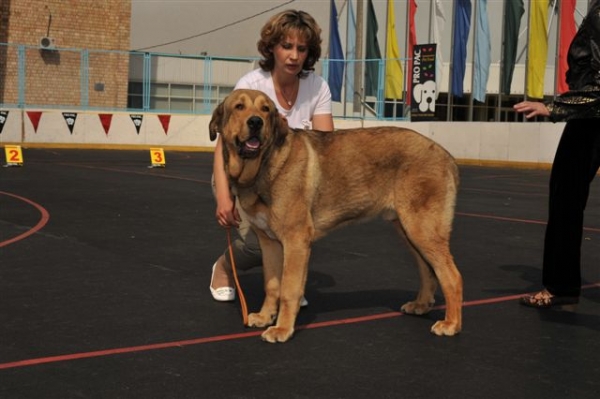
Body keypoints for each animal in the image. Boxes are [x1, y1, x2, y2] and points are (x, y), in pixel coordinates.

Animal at [210, 89, 464, 342]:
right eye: (239, 107)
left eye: (266, 109)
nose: (256, 122)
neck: (264, 164)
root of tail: (446, 156)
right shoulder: (268, 242)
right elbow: (272, 286)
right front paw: (265, 317)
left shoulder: (296, 240)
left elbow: (289, 289)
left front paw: (282, 328)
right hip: (408, 230)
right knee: (428, 271)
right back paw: (421, 305)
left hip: (422, 229)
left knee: (452, 276)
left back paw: (451, 324)